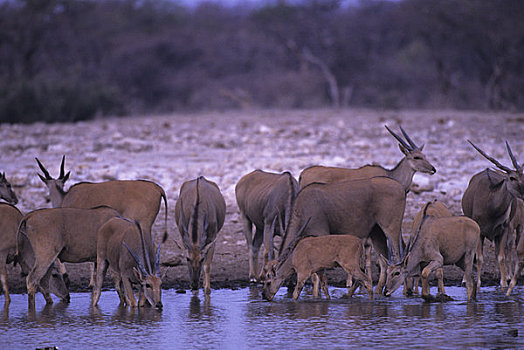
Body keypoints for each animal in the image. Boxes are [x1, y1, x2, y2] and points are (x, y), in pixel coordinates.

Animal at [278, 176, 406, 294]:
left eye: (273, 275)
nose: (289, 286)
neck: (301, 210)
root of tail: (401, 187)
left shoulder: (320, 234)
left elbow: (316, 275)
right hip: (376, 232)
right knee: (383, 261)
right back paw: (378, 290)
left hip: (391, 228)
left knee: (397, 259)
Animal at [462, 142, 524, 288]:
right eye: (512, 178)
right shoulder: (480, 231)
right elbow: (479, 257)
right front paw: (478, 283)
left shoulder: (504, 229)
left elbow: (500, 256)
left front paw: (504, 283)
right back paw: (465, 279)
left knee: (498, 252)